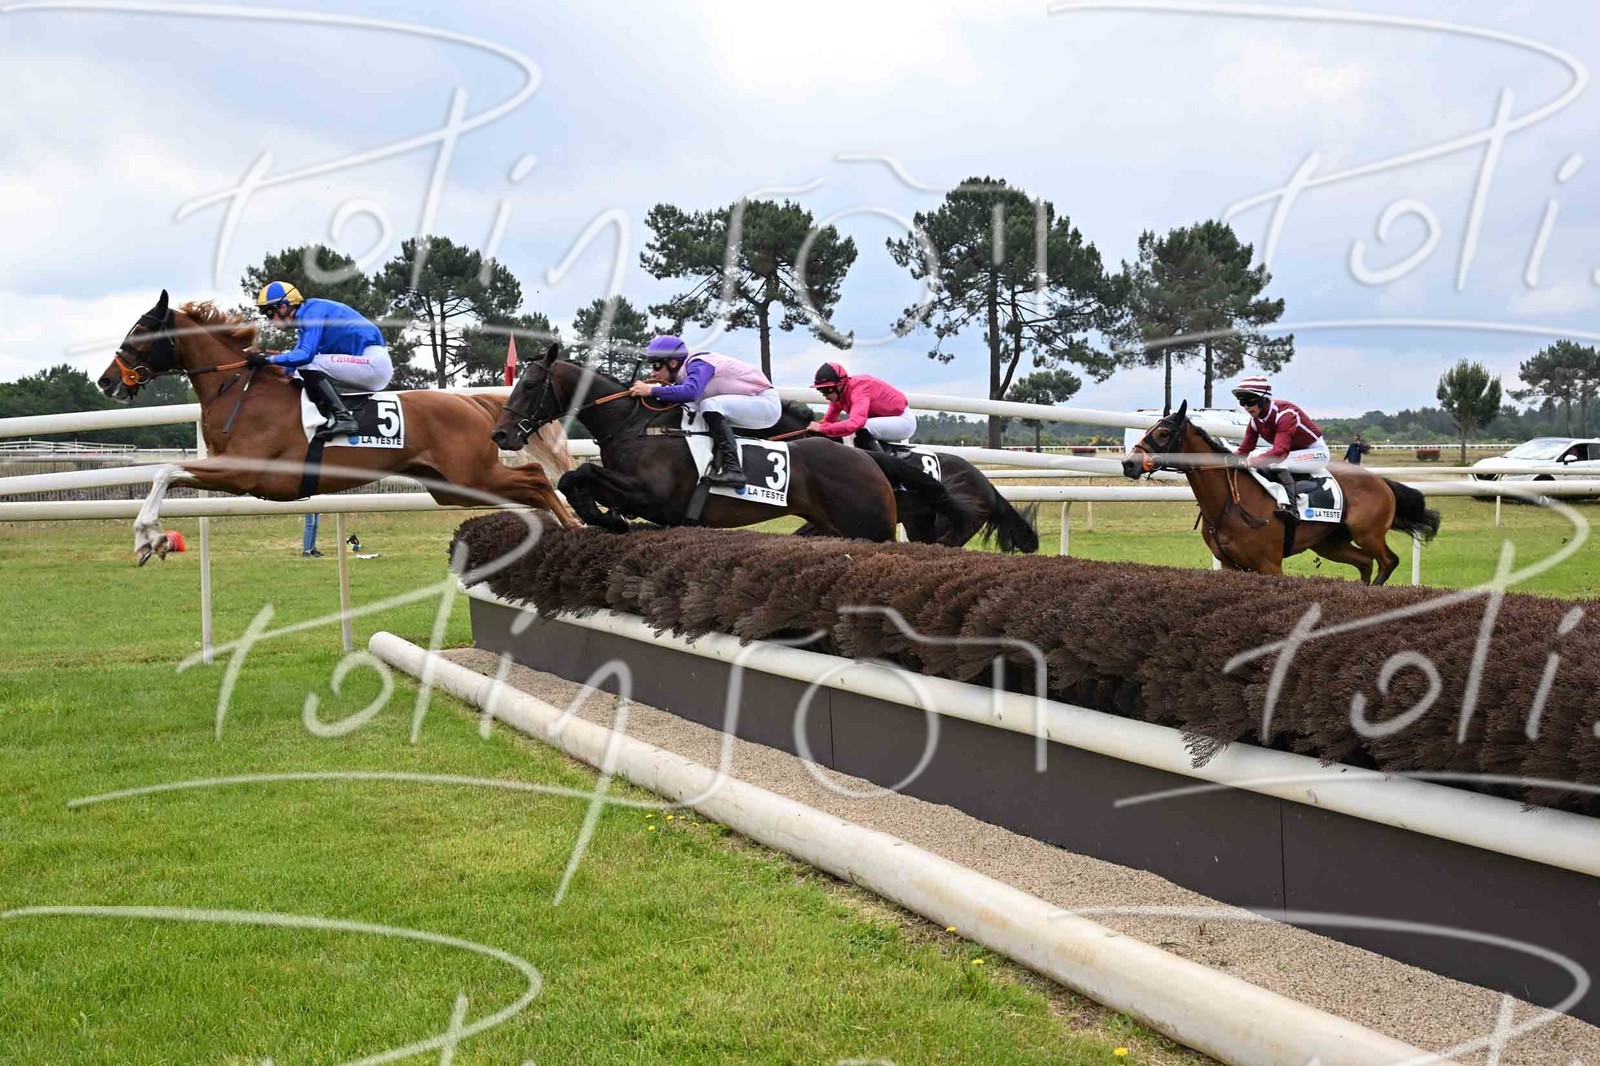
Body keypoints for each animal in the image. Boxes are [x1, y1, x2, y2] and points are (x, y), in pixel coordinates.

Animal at [96, 290, 579, 563]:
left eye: (139, 332)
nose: (106, 381)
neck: (238, 388)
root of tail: (473, 404)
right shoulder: (230, 468)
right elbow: (166, 473)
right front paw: (151, 540)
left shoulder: (246, 470)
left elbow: (165, 470)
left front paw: (148, 537)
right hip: (452, 487)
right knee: (529, 486)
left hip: (471, 474)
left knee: (536, 477)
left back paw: (574, 525)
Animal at [488, 344, 970, 541]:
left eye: (528, 384)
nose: (501, 434)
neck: (636, 425)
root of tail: (870, 461)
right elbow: (574, 478)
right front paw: (602, 516)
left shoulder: (654, 495)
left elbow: (582, 472)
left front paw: (606, 518)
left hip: (871, 527)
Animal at [1122, 401, 1440, 584]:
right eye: (1148, 429)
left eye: (1163, 433)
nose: (1129, 463)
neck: (1230, 502)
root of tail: (1382, 481)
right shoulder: (1229, 565)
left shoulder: (1269, 564)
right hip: (1330, 543)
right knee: (1365, 562)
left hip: (1368, 533)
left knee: (1388, 561)